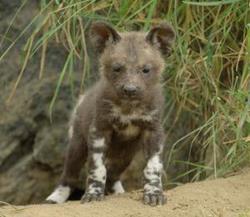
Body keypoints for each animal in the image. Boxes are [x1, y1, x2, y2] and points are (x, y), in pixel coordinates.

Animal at [46, 21, 176, 206]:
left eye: (146, 70)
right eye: (117, 68)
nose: (130, 89)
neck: (129, 108)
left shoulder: (154, 131)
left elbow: (152, 167)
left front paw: (154, 193)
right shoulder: (99, 130)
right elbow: (97, 169)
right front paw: (93, 194)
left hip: (125, 154)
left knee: (113, 175)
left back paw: (119, 193)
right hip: (77, 146)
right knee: (69, 175)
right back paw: (55, 198)